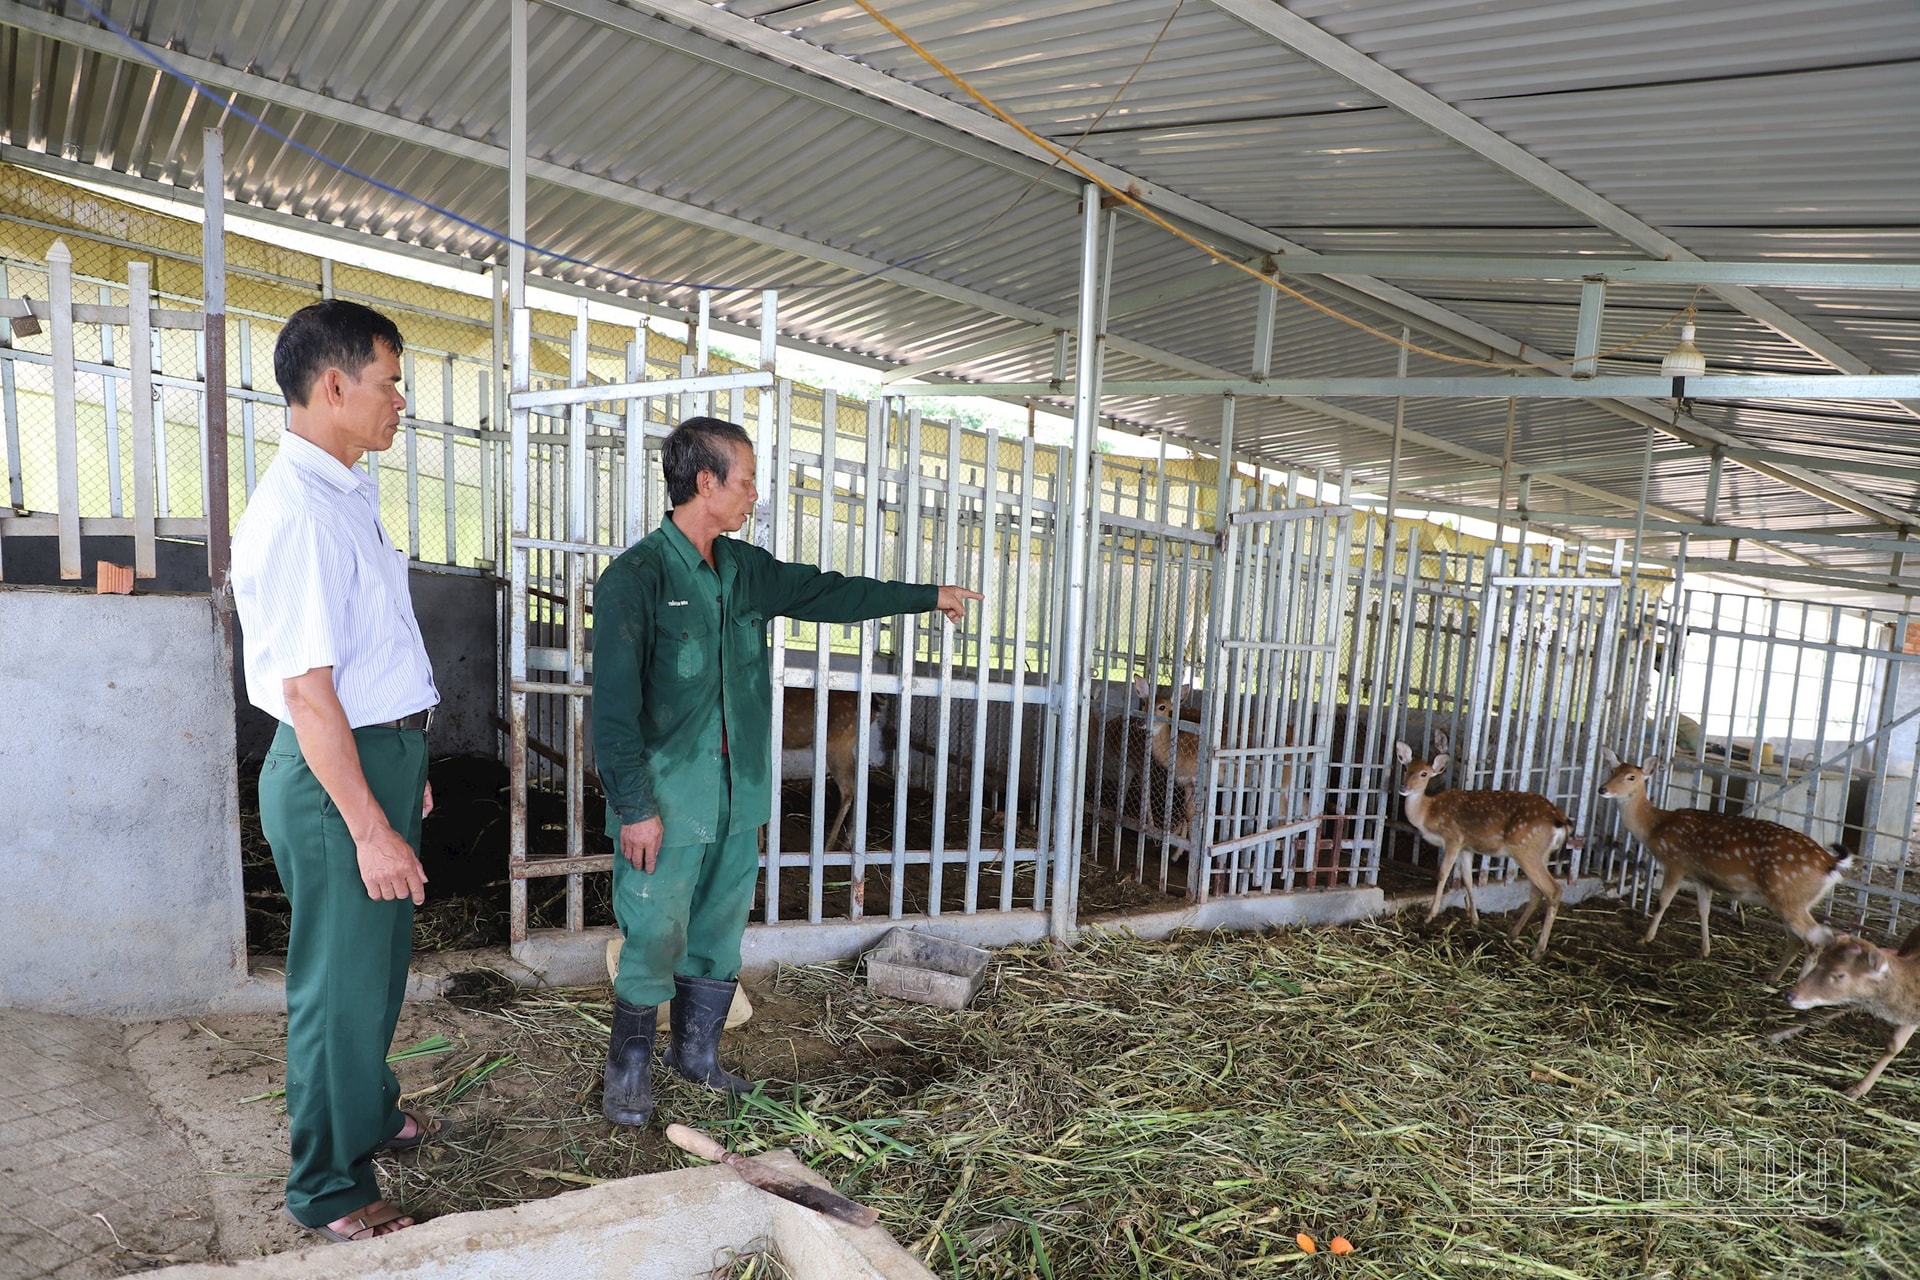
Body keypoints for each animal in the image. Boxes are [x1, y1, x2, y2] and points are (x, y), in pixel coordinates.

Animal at [1405, 736, 1566, 955]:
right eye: (1406, 768)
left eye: (1424, 773)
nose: (1404, 788)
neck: (1428, 812)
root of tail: (1560, 820)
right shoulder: (1466, 846)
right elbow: (1468, 880)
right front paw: (1474, 920)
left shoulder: (1454, 837)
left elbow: (1443, 873)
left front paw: (1429, 916)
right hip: (1541, 854)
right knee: (1536, 891)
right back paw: (1513, 934)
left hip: (1526, 850)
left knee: (1553, 890)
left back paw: (1537, 951)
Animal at [1589, 752, 1843, 982]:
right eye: (1613, 771)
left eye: (1631, 776)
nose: (1602, 789)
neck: (1656, 828)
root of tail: (1830, 864)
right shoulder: (1702, 877)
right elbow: (1704, 911)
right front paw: (1705, 951)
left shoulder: (1676, 863)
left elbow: (1662, 902)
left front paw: (1645, 938)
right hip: (1791, 900)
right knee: (1797, 939)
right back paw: (1772, 977)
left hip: (1789, 897)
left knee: (1814, 940)